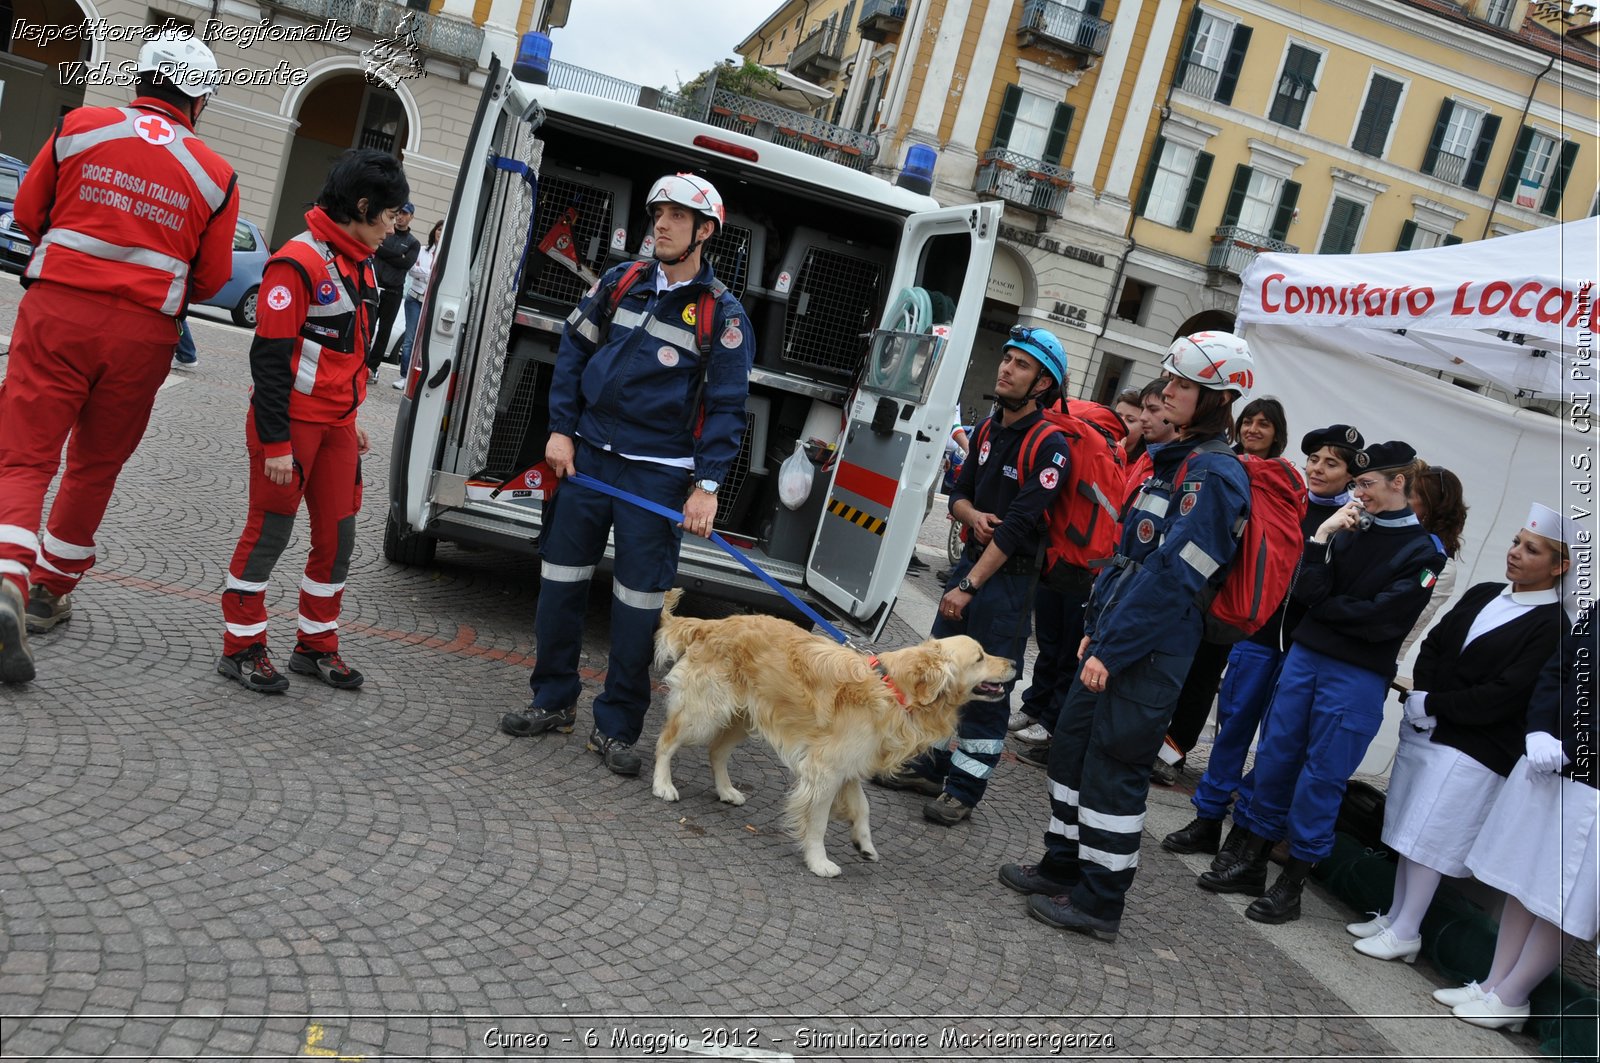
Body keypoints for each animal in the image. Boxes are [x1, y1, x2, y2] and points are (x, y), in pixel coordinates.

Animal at [649, 589, 1011, 877]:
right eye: (980, 657)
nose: (1013, 664)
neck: (894, 688)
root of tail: (712, 624)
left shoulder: (848, 765)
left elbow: (863, 806)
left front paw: (863, 843)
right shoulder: (824, 770)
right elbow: (819, 821)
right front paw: (818, 861)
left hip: (742, 718)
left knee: (716, 752)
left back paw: (726, 790)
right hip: (704, 712)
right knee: (666, 741)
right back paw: (663, 784)